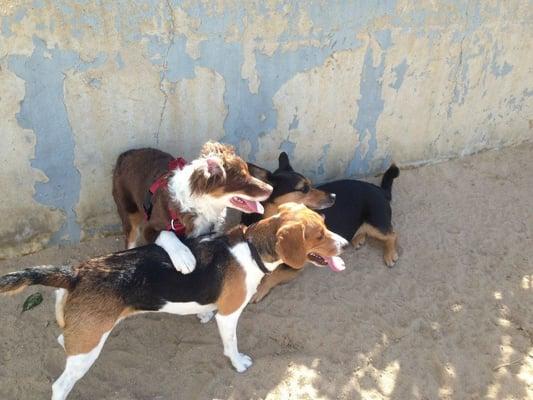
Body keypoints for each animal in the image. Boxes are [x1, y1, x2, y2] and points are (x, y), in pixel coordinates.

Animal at [0, 203, 348, 400]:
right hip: (89, 347)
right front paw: (238, 363)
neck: (250, 248)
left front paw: (203, 316)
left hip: (84, 337)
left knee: (63, 340)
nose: (344, 244)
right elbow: (231, 345)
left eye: (324, 225)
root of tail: (75, 272)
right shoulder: (230, 315)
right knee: (60, 386)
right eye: (318, 235)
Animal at [111, 141, 270, 276]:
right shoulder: (151, 227)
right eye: (241, 179)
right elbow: (167, 234)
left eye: (248, 172)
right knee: (131, 237)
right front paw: (183, 256)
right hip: (129, 212)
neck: (202, 204)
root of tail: (125, 154)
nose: (271, 189)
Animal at [243, 152, 396, 300]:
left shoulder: (294, 264)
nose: (334, 196)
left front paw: (260, 290)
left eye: (311, 185)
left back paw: (390, 254)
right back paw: (358, 238)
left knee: (392, 235)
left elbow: (275, 274)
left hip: (376, 224)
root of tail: (379, 189)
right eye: (304, 189)